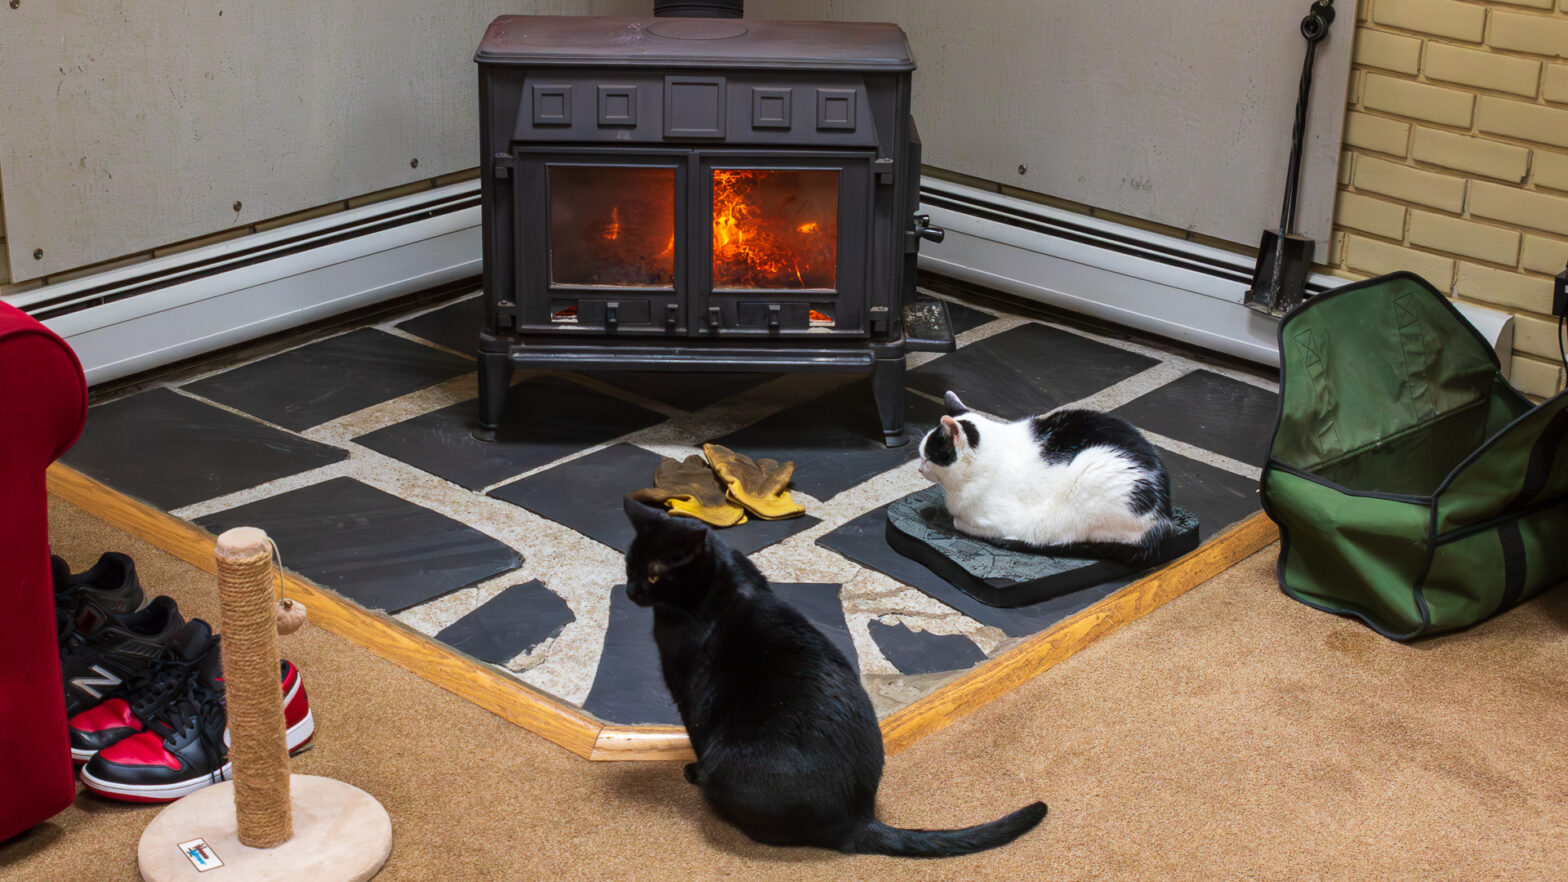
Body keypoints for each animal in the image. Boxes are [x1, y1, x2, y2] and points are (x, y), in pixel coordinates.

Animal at [617, 499, 1047, 853]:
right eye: (629, 566)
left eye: (653, 576)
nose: (629, 591)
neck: (721, 584)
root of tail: (860, 821)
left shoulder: (688, 690)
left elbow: (694, 734)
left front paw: (690, 769)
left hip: (729, 758)